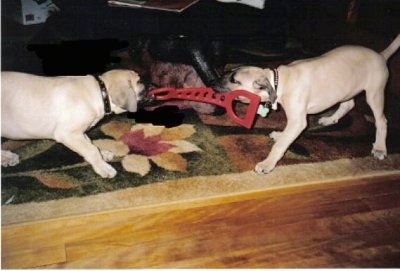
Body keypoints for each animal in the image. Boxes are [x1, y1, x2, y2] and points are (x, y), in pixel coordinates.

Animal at [1, 69, 145, 177]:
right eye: (138, 81)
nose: (148, 85)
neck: (99, 92)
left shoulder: (79, 133)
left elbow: (90, 144)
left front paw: (102, 154)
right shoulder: (67, 134)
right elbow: (91, 150)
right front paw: (103, 167)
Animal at [219, 34, 400, 174]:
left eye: (234, 80)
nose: (214, 82)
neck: (279, 81)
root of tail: (381, 56)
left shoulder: (298, 121)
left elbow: (281, 144)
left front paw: (267, 164)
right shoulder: (295, 120)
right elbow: (286, 136)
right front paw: (280, 135)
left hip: (374, 95)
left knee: (381, 120)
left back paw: (379, 148)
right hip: (345, 89)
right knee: (348, 105)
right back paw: (330, 119)